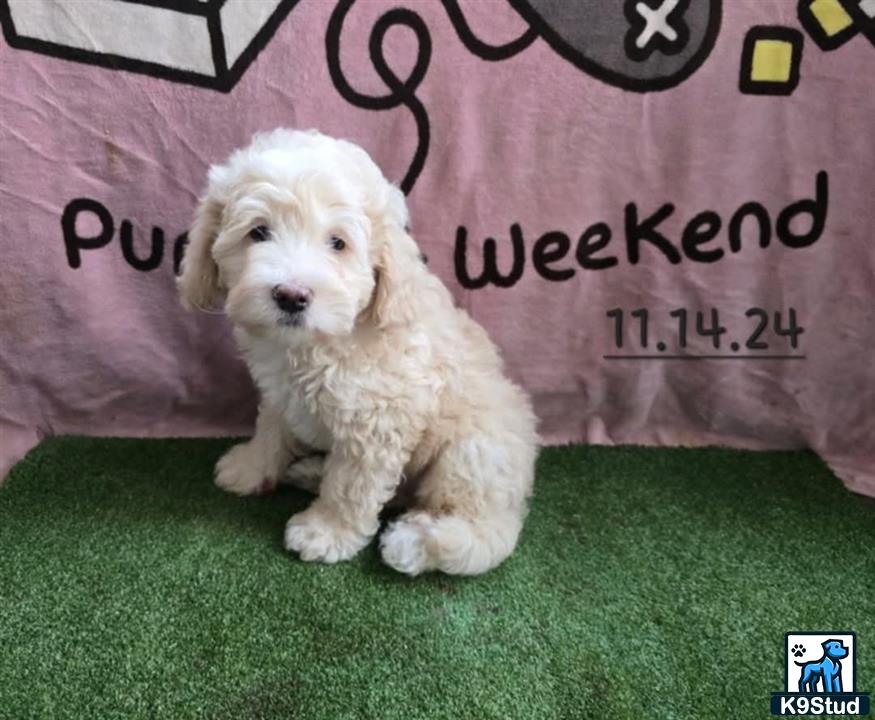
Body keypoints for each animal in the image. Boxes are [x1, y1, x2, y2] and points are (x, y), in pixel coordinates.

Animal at [177, 128, 532, 572]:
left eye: (338, 243)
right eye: (258, 232)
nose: (291, 296)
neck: (315, 344)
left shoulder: (377, 420)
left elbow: (351, 485)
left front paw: (326, 532)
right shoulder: (281, 395)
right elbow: (271, 429)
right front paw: (250, 467)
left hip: (474, 452)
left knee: (484, 530)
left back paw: (416, 542)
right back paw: (311, 471)